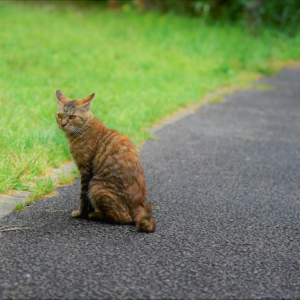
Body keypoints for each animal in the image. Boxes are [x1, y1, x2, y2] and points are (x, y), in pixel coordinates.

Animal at [54, 89, 156, 232]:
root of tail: (139, 205)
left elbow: (83, 197)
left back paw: (96, 215)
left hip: (96, 186)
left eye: (72, 117)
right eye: (60, 115)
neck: (84, 129)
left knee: (124, 218)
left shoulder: (85, 171)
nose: (63, 124)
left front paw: (80, 214)